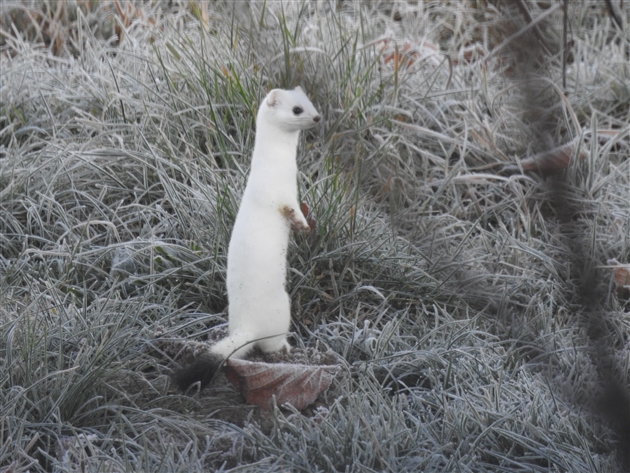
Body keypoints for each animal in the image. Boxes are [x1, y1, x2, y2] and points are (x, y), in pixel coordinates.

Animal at [172, 86, 320, 390]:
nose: (317, 117)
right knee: (270, 344)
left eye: (310, 102)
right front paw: (303, 226)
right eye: (297, 109)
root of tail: (247, 326)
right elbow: (291, 210)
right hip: (282, 308)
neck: (282, 169)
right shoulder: (282, 196)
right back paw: (286, 347)